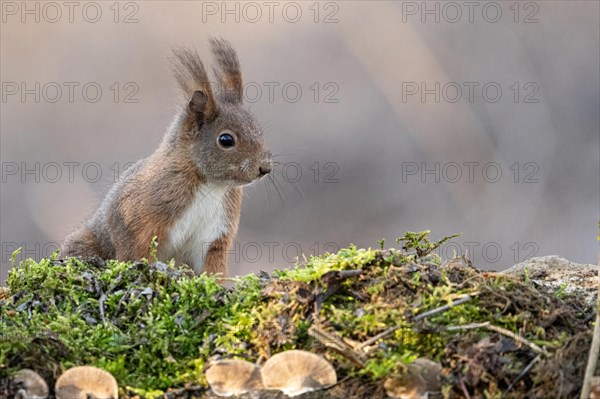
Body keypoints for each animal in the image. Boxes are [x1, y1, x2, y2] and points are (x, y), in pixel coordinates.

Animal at [61, 39, 272, 276]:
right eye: (226, 140)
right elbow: (133, 248)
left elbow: (212, 269)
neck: (211, 184)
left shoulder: (216, 235)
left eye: (258, 128)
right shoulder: (136, 216)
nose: (265, 167)